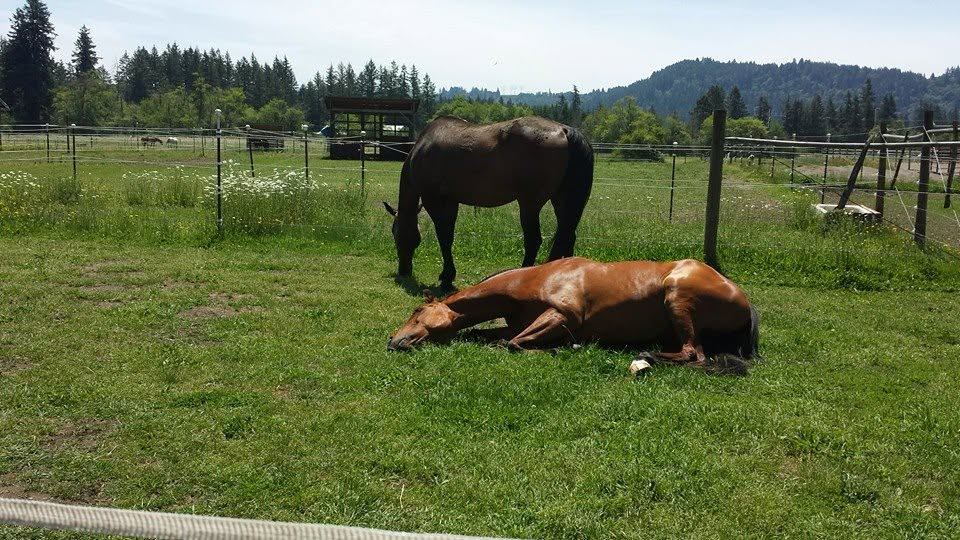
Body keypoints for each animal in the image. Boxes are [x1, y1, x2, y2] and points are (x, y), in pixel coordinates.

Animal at [383, 115, 594, 289]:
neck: (423, 148)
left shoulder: (433, 199)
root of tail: (564, 130)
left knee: (534, 240)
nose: (403, 270)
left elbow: (443, 237)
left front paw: (446, 278)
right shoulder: (451, 202)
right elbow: (448, 237)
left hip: (529, 204)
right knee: (567, 236)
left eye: (395, 233)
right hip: (561, 202)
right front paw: (448, 276)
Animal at [388, 257, 761, 375]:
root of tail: (742, 295)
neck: (533, 281)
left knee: (694, 355)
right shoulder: (517, 324)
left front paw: (563, 348)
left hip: (678, 299)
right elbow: (491, 336)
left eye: (417, 311)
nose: (393, 341)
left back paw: (645, 356)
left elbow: (512, 344)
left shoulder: (562, 318)